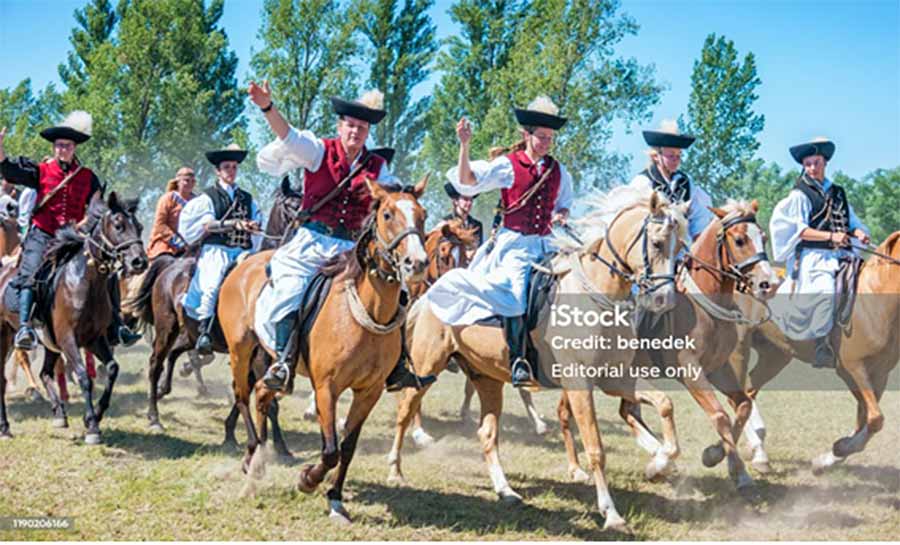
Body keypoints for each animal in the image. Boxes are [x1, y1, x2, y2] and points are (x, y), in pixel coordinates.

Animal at [0, 191, 148, 442]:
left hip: (48, 343)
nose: (139, 262)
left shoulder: (94, 339)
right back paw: (5, 426)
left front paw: (95, 415)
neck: (83, 280)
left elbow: (112, 369)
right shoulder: (68, 339)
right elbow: (83, 376)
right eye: (118, 225)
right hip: (6, 337)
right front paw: (92, 427)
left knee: (45, 373)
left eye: (139, 226)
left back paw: (59, 413)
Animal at [218, 176, 428, 520]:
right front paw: (307, 479)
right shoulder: (327, 388)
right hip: (240, 350)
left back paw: (260, 456)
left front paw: (335, 497)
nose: (417, 263)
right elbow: (329, 450)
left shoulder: (368, 392)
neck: (365, 312)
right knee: (241, 395)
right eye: (387, 214)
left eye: (422, 216)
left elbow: (346, 447)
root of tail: (243, 267)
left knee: (262, 394)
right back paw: (251, 454)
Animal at [386, 189, 688, 528]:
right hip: (427, 366)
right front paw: (610, 512)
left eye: (680, 248)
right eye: (658, 243)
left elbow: (665, 404)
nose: (663, 300)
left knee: (487, 434)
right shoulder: (579, 383)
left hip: (487, 379)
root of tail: (427, 296)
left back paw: (506, 491)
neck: (597, 294)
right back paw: (396, 471)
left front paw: (658, 465)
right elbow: (595, 447)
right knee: (405, 411)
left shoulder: (615, 378)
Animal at [560, 200, 776, 488]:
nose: (769, 283)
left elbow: (742, 406)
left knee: (627, 411)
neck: (704, 305)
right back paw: (578, 469)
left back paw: (658, 459)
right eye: (740, 239)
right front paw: (726, 463)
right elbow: (720, 415)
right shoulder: (690, 369)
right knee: (567, 413)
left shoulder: (718, 369)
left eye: (763, 237)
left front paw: (725, 460)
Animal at [716, 231, 900, 476]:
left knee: (749, 391)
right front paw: (839, 449)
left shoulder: (880, 374)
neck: (876, 299)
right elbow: (875, 418)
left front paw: (828, 458)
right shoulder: (853, 368)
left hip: (776, 355)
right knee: (737, 398)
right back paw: (754, 452)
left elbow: (866, 420)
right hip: (739, 348)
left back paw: (760, 453)